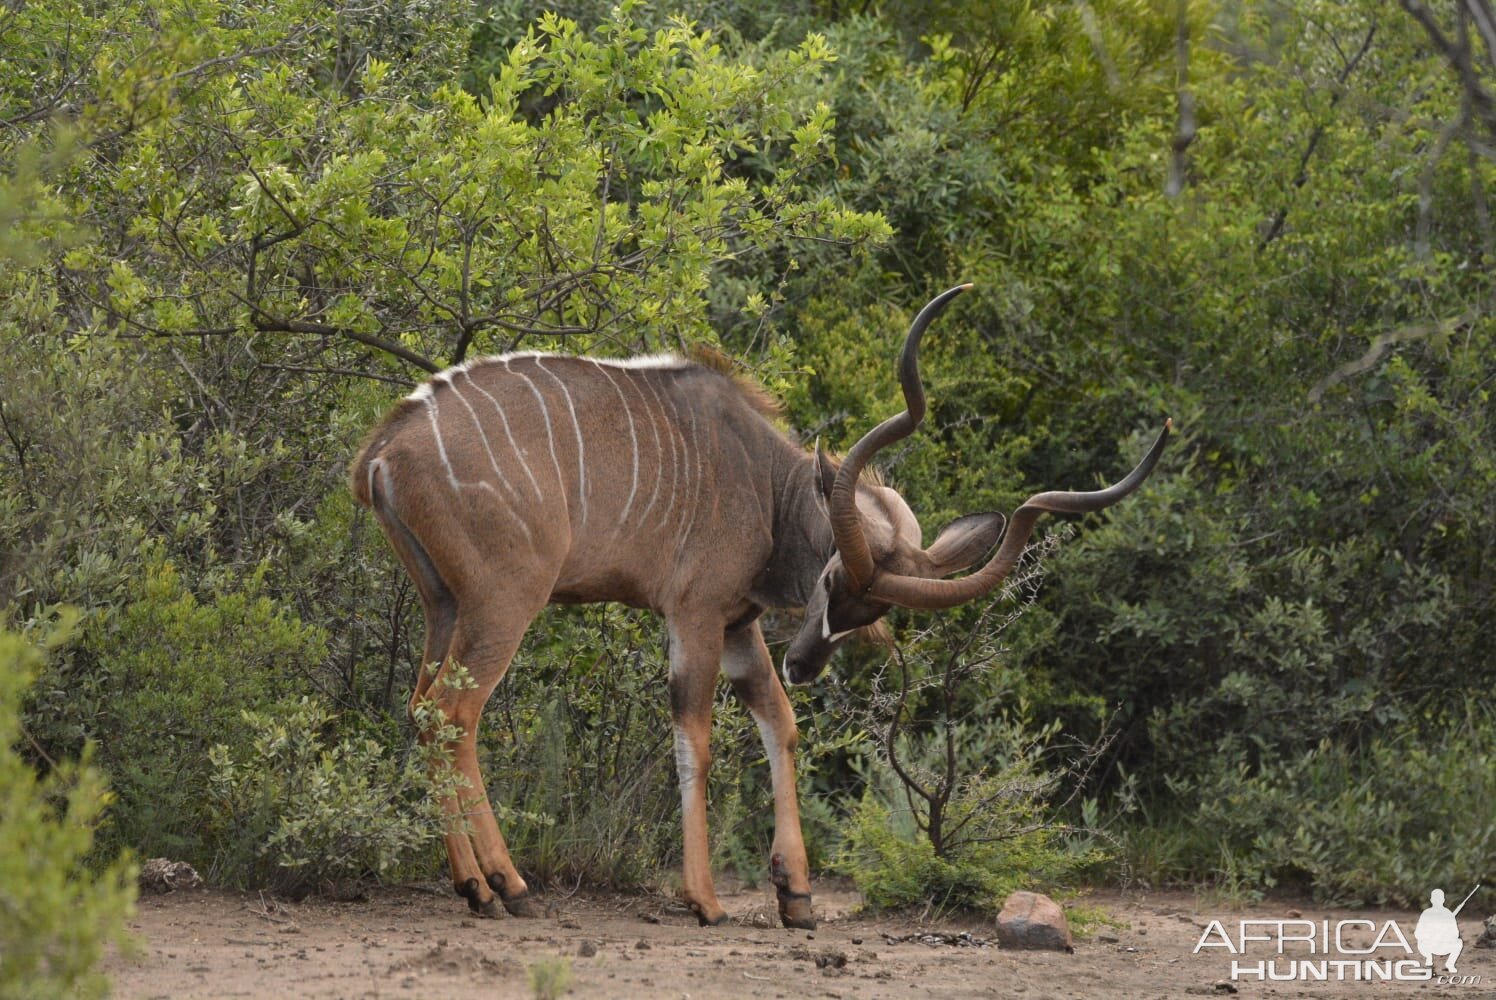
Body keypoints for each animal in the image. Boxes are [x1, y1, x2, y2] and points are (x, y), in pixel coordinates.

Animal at [347, 282, 1166, 928]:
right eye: (832, 582)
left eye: (870, 616)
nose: (804, 662)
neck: (765, 483)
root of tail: (384, 451)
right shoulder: (696, 615)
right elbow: (697, 736)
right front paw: (706, 900)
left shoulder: (739, 627)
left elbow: (781, 724)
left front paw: (796, 896)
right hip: (504, 602)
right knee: (454, 713)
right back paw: (507, 886)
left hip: (443, 605)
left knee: (422, 709)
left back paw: (471, 884)